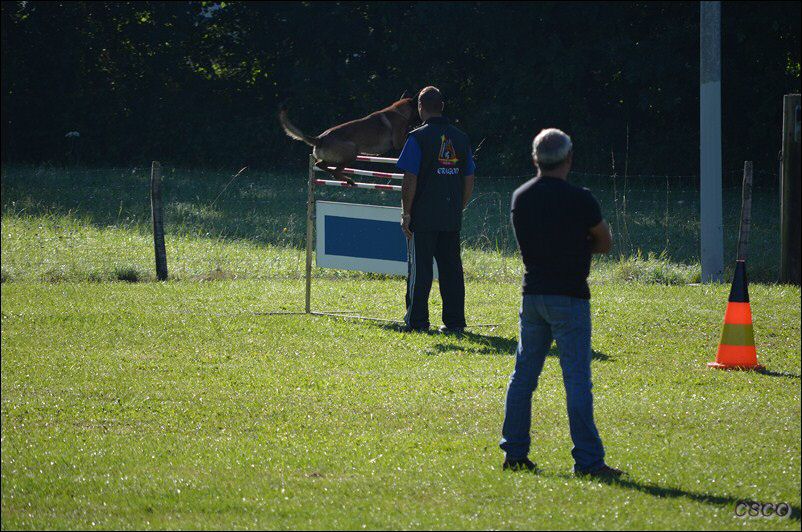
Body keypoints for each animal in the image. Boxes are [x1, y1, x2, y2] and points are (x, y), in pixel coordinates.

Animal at [278, 95, 416, 185]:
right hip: (352, 152)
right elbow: (407, 134)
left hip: (335, 158)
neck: (400, 111)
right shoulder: (398, 142)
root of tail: (319, 139)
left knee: (322, 165)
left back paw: (343, 177)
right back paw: (348, 179)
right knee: (334, 171)